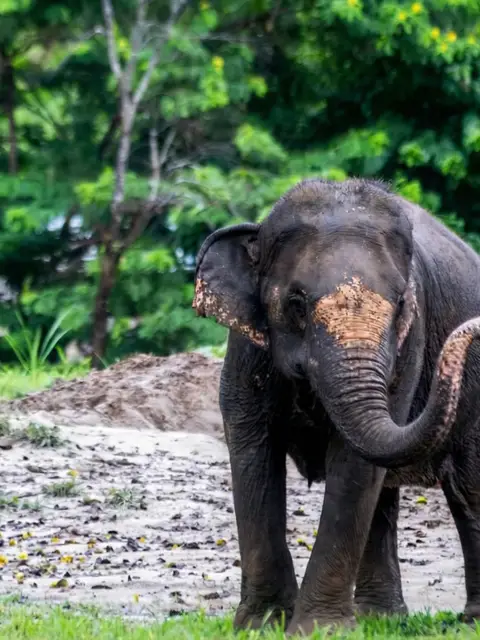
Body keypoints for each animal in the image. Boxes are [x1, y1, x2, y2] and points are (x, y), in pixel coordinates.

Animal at [192, 177, 480, 635]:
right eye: (296, 303)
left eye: (401, 305)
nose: (472, 330)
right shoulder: (246, 347)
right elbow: (253, 449)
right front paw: (261, 625)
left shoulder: (408, 346)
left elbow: (353, 464)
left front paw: (318, 631)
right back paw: (380, 618)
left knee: (468, 488)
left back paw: (465, 622)